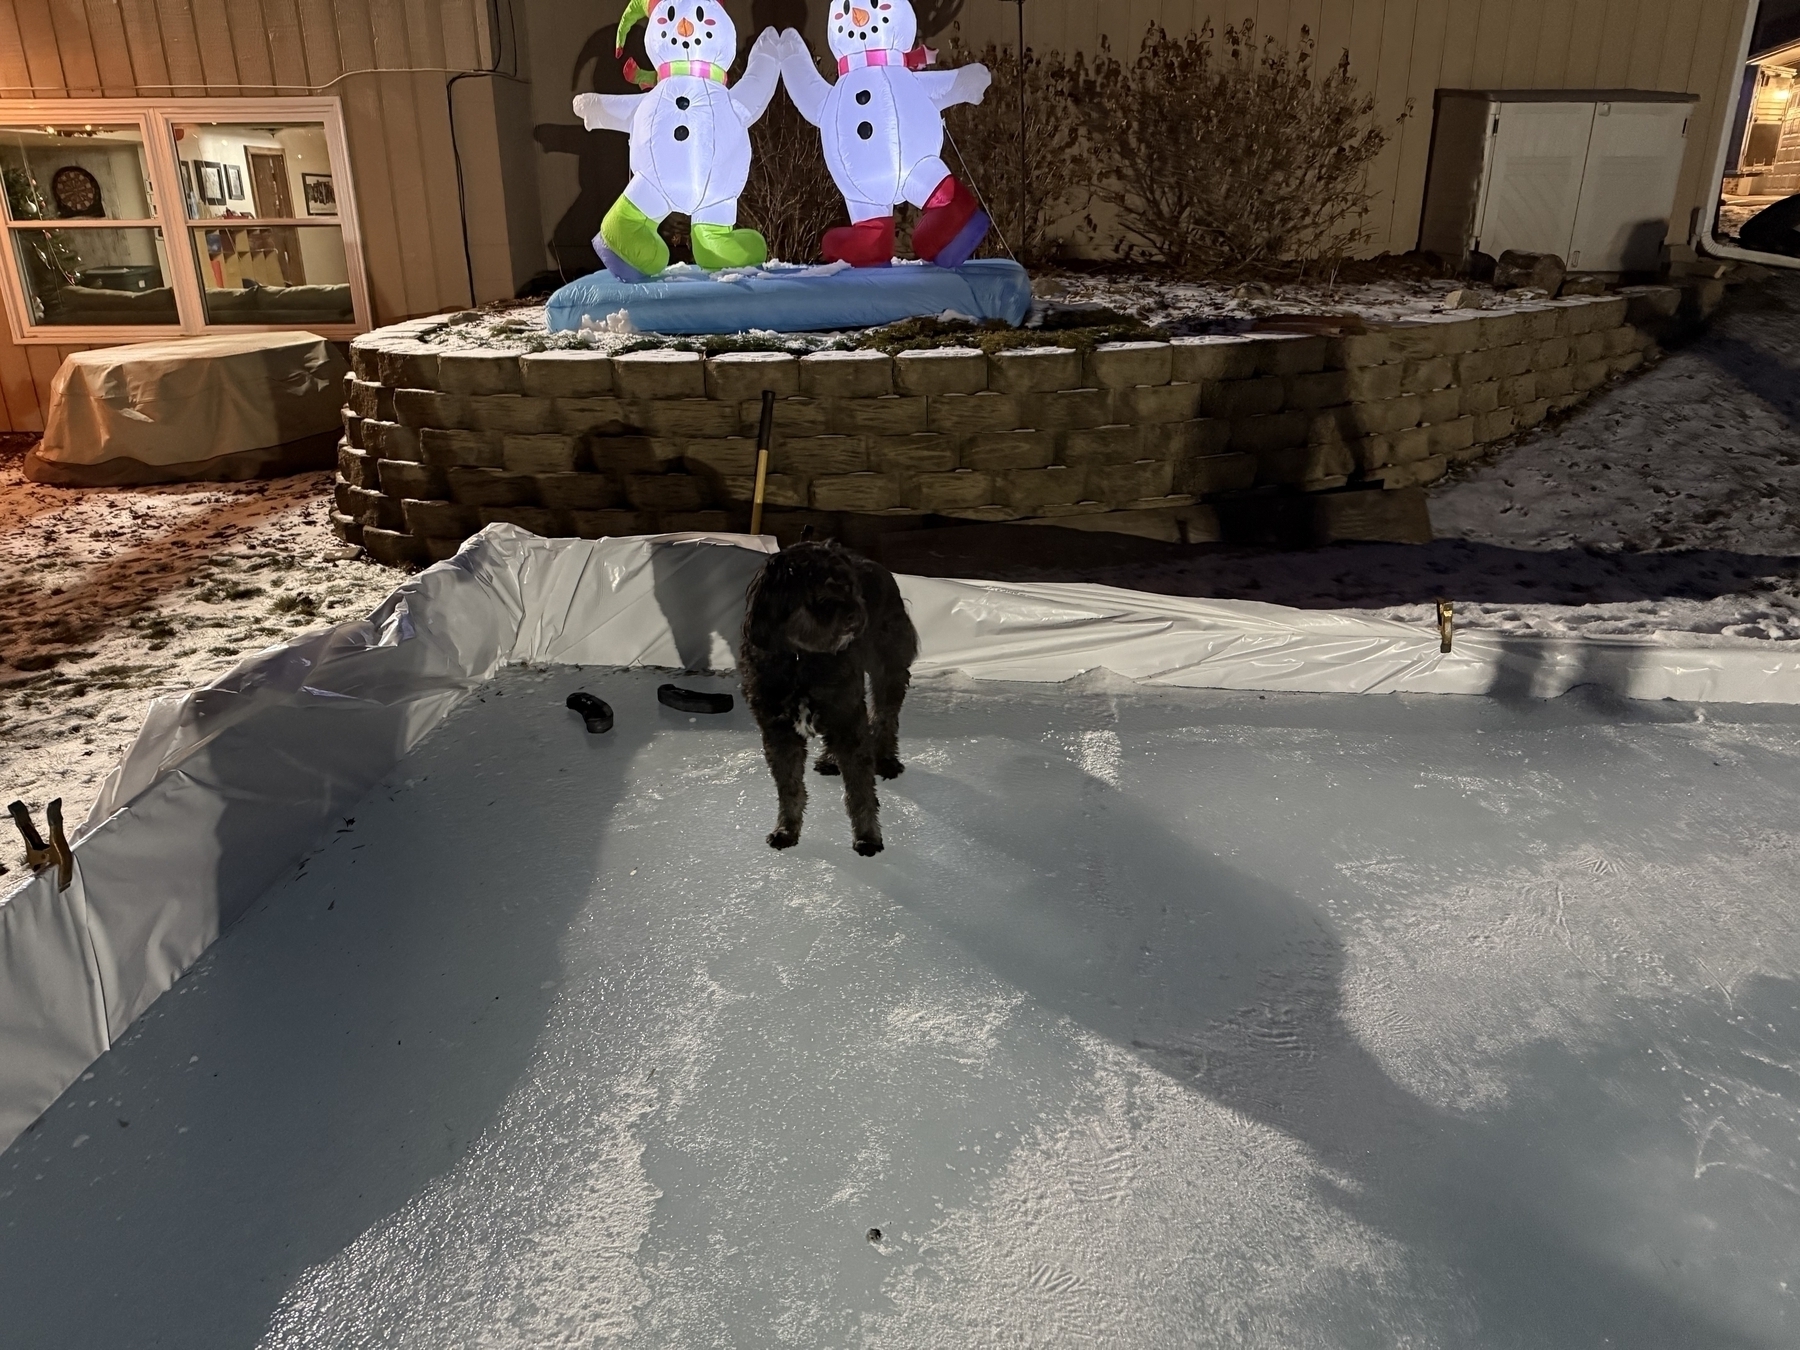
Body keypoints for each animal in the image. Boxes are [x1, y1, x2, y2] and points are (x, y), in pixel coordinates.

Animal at [738, 543, 921, 849]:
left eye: (847, 586)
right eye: (816, 588)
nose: (855, 615)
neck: (800, 658)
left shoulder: (848, 716)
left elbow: (860, 790)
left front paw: (868, 836)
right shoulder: (779, 730)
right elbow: (789, 787)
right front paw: (786, 829)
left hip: (888, 670)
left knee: (885, 717)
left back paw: (886, 759)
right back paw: (831, 760)